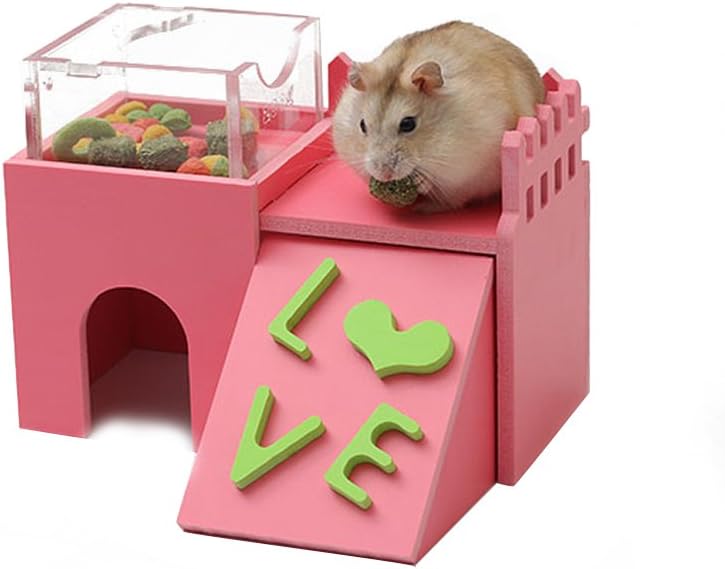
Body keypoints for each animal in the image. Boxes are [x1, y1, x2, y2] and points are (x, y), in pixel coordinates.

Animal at [332, 21, 545, 212]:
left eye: (408, 124)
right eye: (362, 125)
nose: (384, 175)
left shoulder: (466, 162)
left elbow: (441, 180)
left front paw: (420, 180)